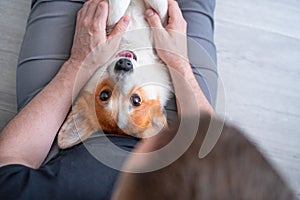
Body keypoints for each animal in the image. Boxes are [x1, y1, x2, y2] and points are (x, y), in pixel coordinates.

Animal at [58, 0, 171, 148]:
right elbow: (117, 13)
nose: (123, 65)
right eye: (105, 95)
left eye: (136, 100)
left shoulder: (161, 25)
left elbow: (159, 10)